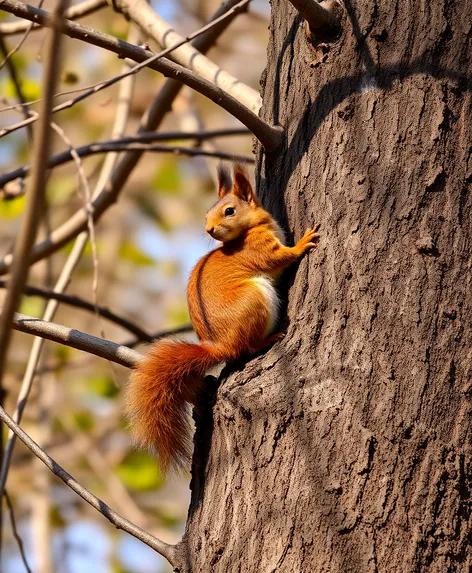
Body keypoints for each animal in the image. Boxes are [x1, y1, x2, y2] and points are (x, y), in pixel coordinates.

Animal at [124, 163, 320, 472]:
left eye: (229, 210)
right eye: (207, 214)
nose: (208, 229)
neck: (247, 231)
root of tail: (220, 347)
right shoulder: (260, 250)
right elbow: (280, 258)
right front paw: (302, 243)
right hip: (255, 300)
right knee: (246, 347)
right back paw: (267, 340)